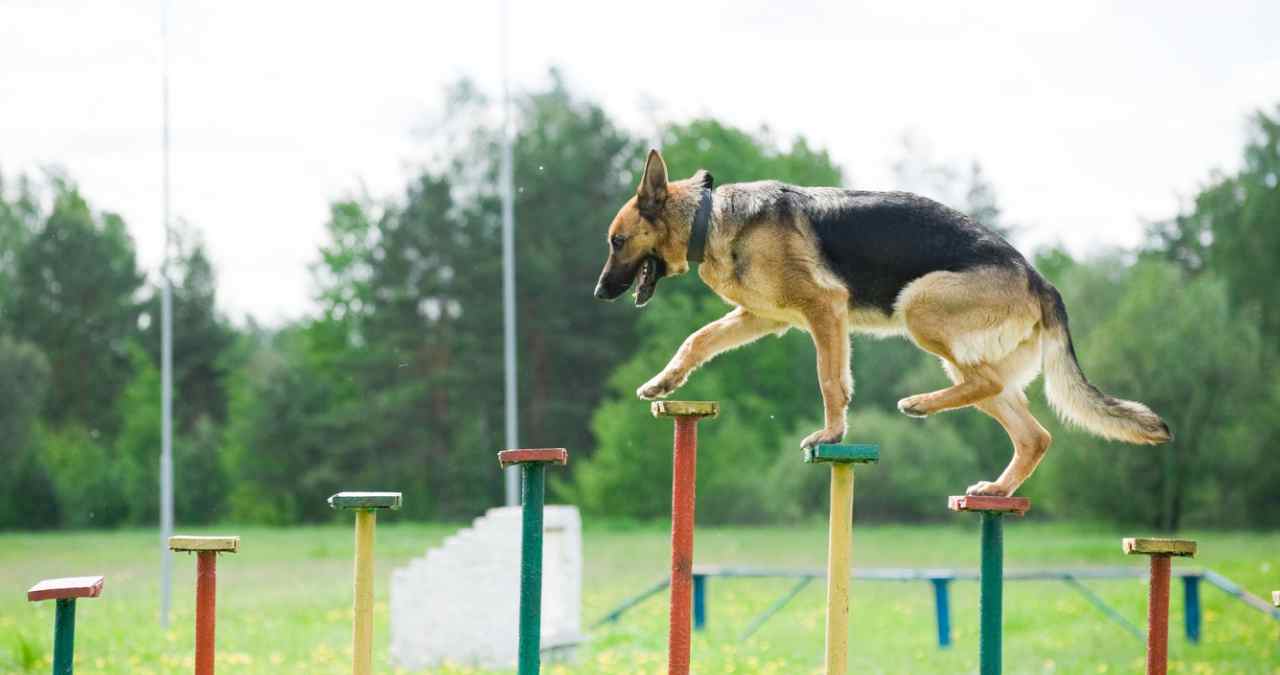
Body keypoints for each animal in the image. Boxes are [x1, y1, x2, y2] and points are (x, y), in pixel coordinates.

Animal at [593, 149, 1167, 496]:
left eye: (616, 241)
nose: (599, 293)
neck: (708, 216)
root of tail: (1039, 279)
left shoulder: (824, 310)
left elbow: (830, 380)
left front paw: (831, 433)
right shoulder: (761, 318)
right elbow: (697, 340)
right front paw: (663, 382)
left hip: (918, 307)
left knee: (986, 384)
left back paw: (919, 404)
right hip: (965, 355)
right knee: (1032, 433)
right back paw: (997, 488)